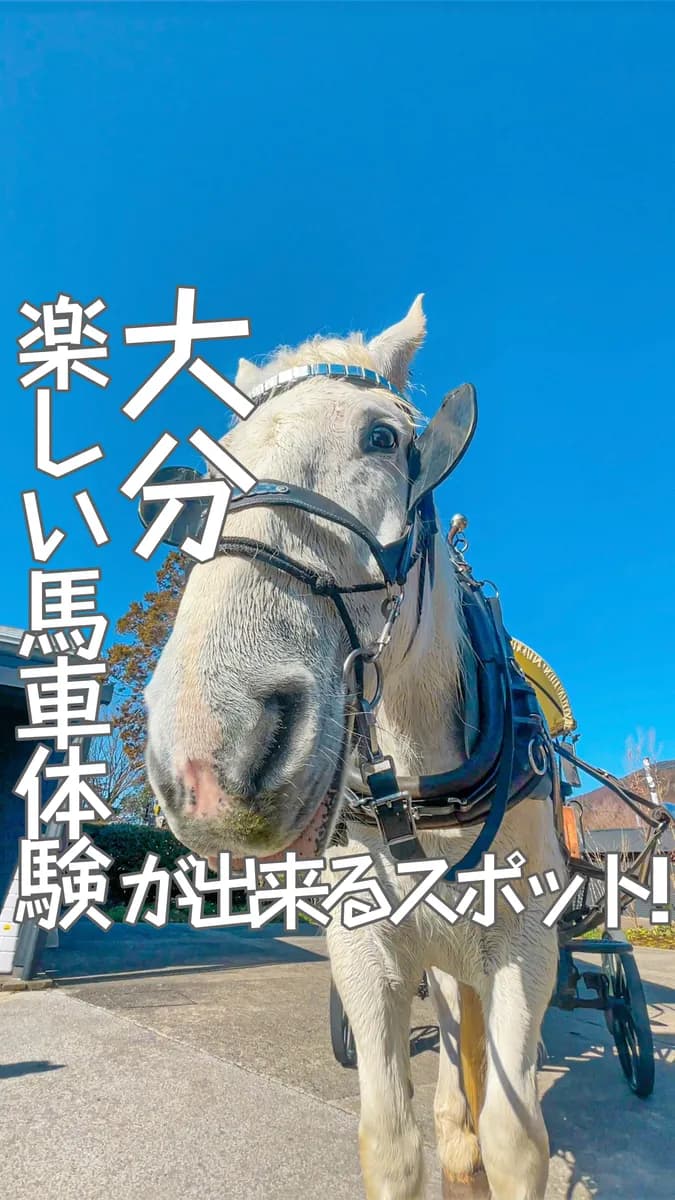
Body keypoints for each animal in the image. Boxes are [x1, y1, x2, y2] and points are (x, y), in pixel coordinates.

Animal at [144, 295, 566, 1200]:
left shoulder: (526, 941)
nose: (204, 753)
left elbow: (517, 1137)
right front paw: (439, 1140)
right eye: (206, 476)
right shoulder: (364, 946)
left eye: (381, 438)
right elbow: (390, 1140)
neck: (421, 789)